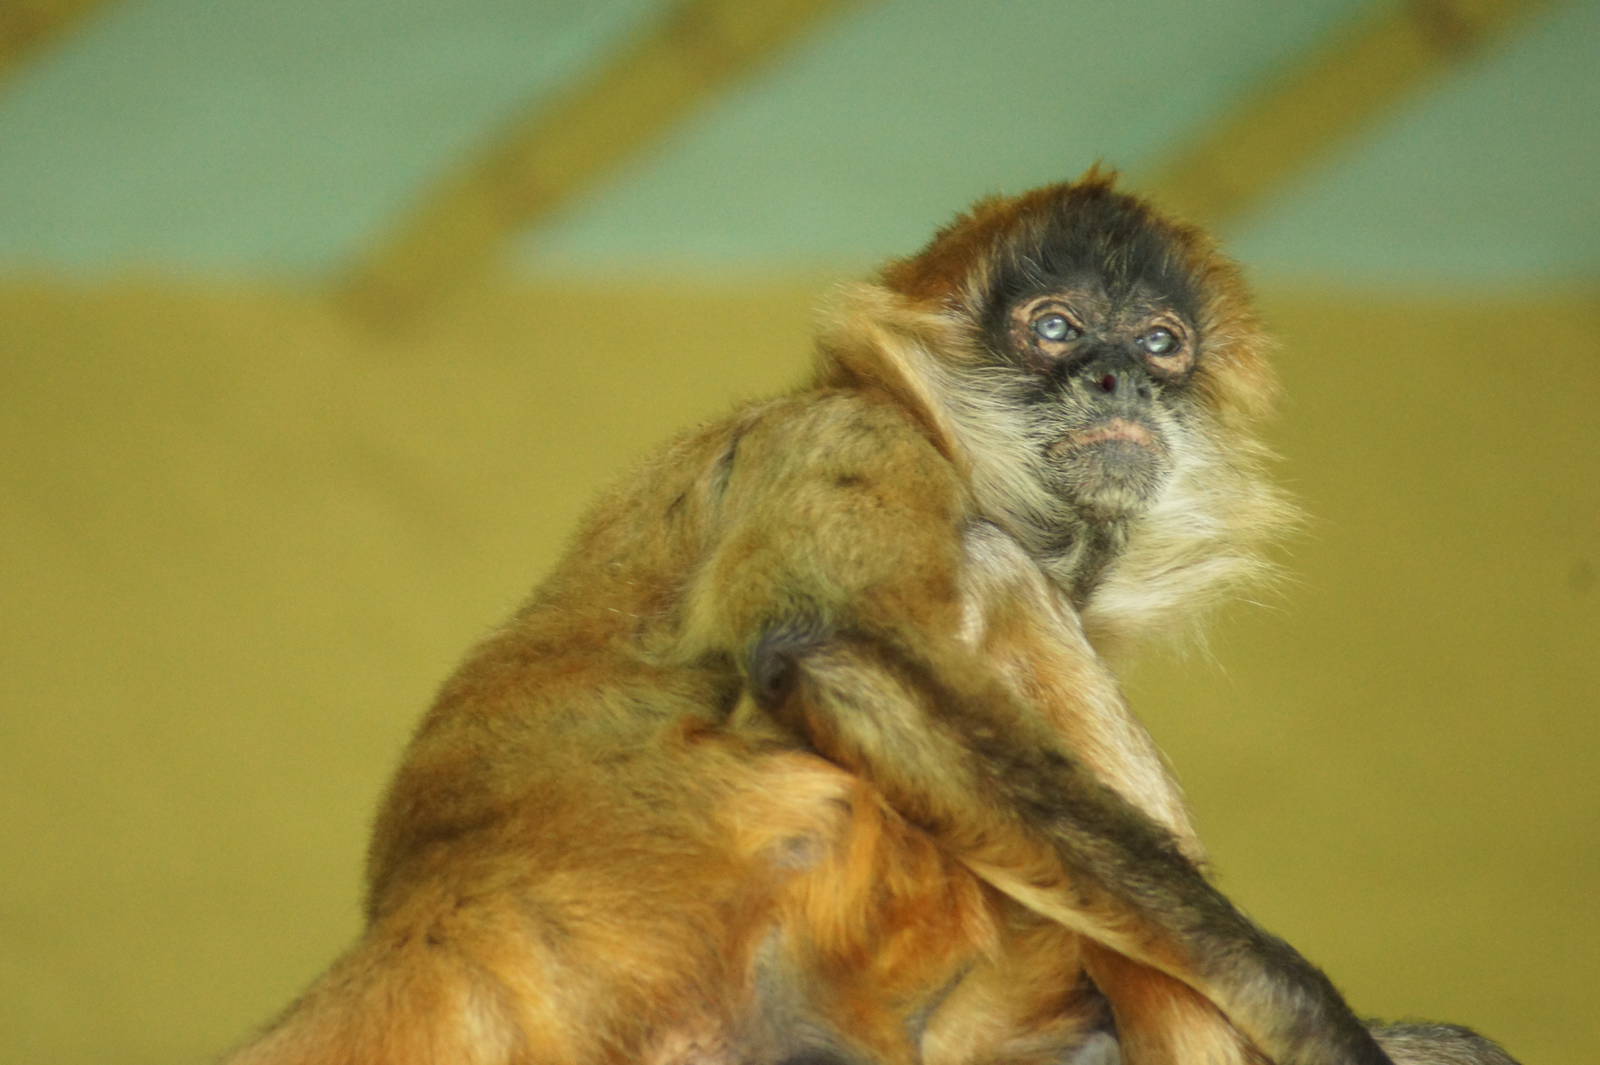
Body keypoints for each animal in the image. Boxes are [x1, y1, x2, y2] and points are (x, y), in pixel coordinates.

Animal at [219, 173, 1518, 1065]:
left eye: (1160, 345)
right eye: (1055, 330)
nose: (1115, 378)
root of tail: (454, 901)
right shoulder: (855, 432)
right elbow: (830, 646)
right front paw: (1307, 1015)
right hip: (766, 850)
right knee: (986, 568)